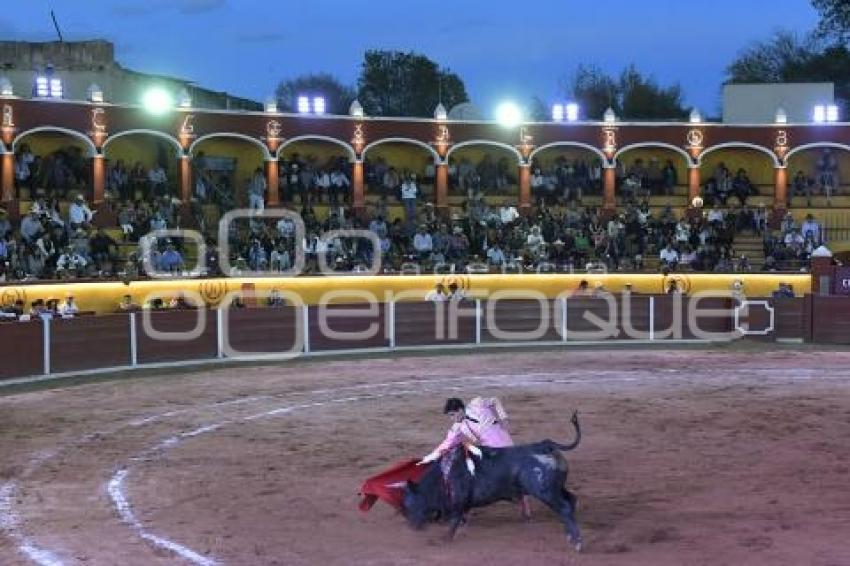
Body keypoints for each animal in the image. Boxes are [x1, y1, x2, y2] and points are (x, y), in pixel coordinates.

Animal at [400, 414, 580, 552]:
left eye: (408, 504)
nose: (411, 527)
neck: (444, 475)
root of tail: (546, 445)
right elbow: (462, 518)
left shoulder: (458, 501)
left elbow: (454, 520)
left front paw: (445, 539)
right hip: (557, 488)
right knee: (571, 500)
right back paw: (570, 536)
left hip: (545, 492)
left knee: (564, 508)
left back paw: (577, 543)